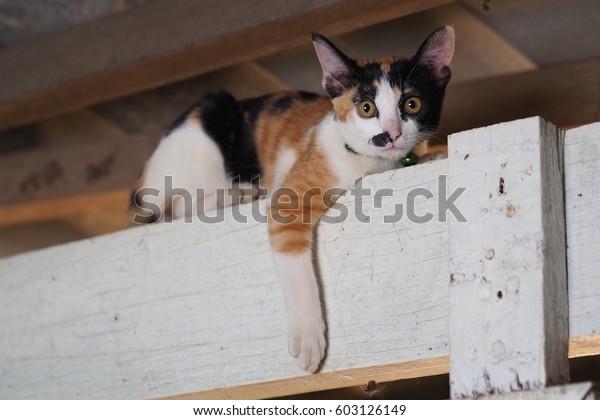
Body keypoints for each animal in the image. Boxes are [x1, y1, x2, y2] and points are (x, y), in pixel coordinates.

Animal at [135, 26, 454, 372]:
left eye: (412, 104)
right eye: (366, 108)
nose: (392, 134)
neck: (375, 165)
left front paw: (434, 156)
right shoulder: (288, 197)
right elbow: (295, 267)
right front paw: (308, 338)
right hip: (205, 127)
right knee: (174, 208)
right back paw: (238, 193)